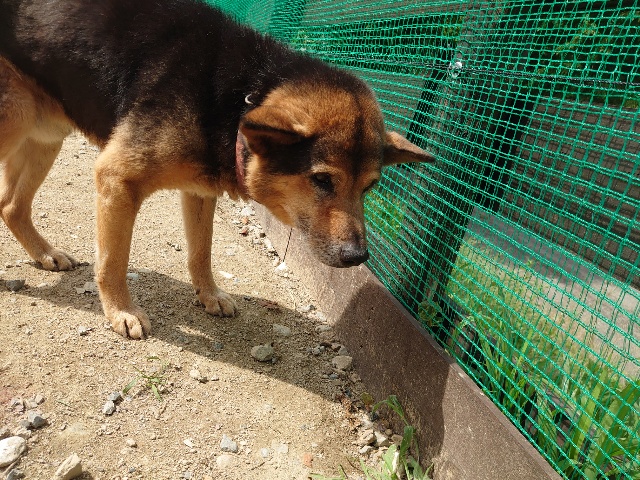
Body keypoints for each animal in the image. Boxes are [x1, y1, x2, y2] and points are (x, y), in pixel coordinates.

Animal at [0, 0, 434, 339]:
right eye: (322, 180)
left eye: (369, 188)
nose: (357, 257)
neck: (241, 94)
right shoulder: (117, 179)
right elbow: (112, 262)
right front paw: (122, 311)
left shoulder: (199, 191)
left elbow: (201, 252)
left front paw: (208, 295)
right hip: (14, 123)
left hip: (44, 136)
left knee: (10, 206)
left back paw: (44, 254)